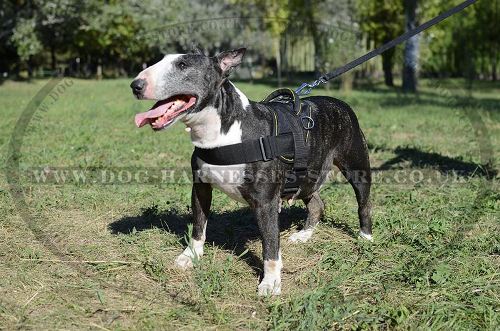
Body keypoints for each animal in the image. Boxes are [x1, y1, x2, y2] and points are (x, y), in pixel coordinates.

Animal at [129, 48, 372, 296]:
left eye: (183, 65)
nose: (136, 85)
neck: (223, 134)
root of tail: (339, 102)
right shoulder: (200, 188)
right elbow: (198, 225)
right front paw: (191, 256)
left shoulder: (266, 202)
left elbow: (271, 243)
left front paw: (271, 282)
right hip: (307, 176)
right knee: (317, 204)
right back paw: (304, 235)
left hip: (357, 166)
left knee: (363, 203)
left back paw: (365, 236)